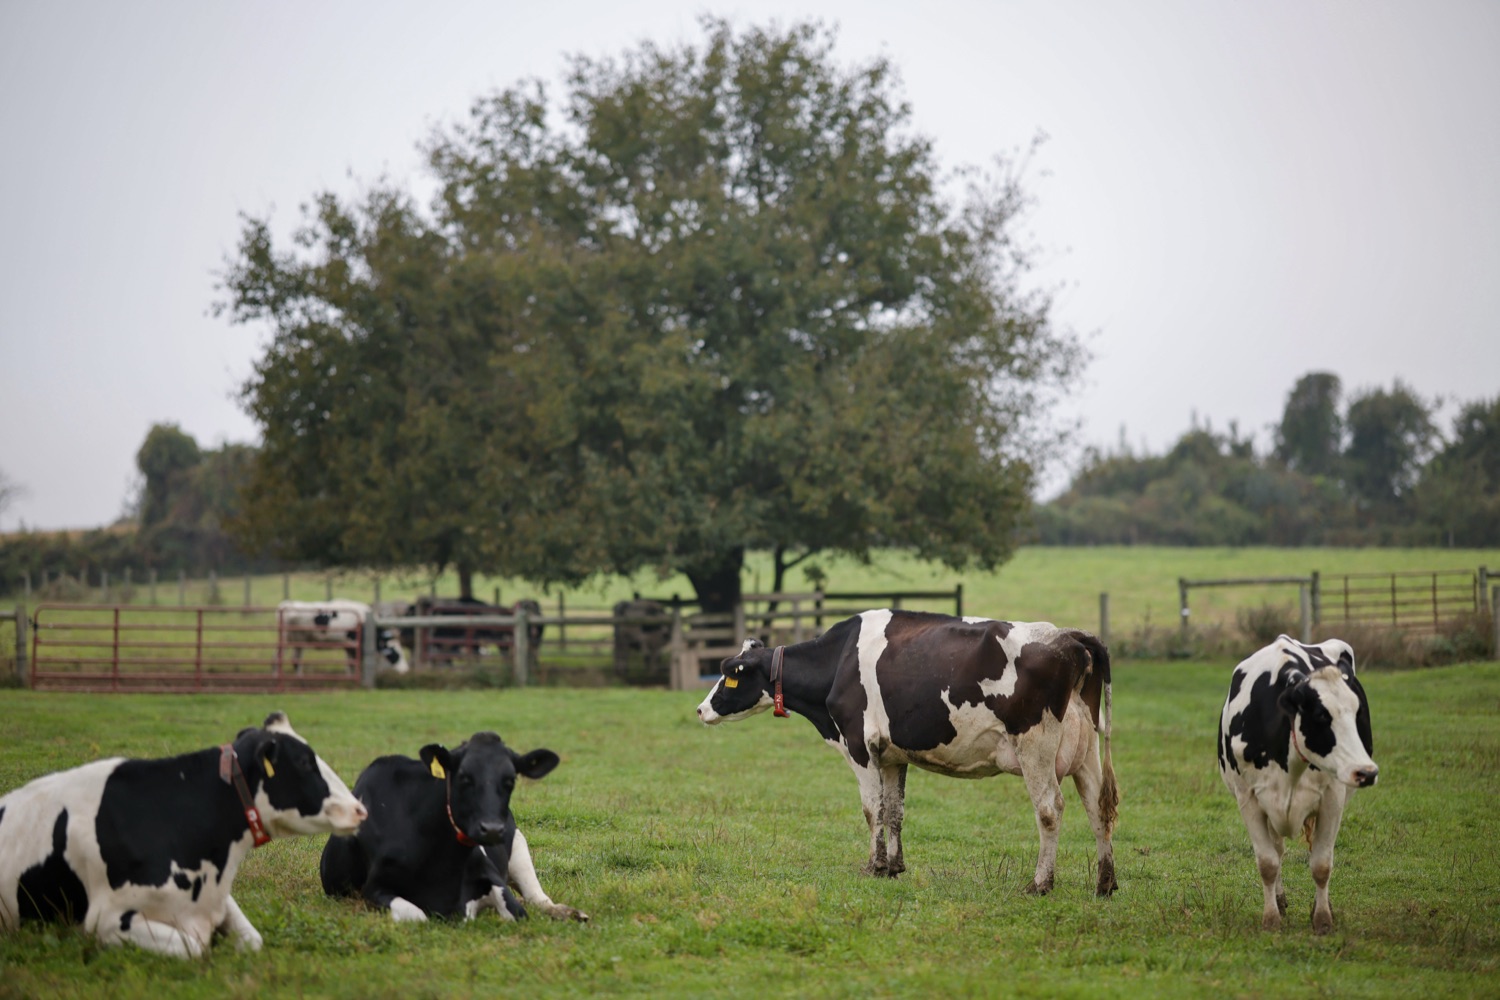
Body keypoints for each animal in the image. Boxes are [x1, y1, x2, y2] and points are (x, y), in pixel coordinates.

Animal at [0, 713, 366, 958]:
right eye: (304, 762)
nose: (359, 808)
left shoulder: (216, 898)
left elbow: (252, 940)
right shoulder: (107, 920)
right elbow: (193, 949)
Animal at [277, 599, 409, 675]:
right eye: (396, 654)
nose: (405, 670)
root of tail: (287, 604)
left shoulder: (350, 646)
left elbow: (351, 663)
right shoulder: (352, 644)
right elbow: (352, 663)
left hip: (293, 640)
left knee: (288, 658)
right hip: (294, 639)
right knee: (290, 659)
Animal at [320, 731, 587, 924]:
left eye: (510, 780)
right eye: (464, 777)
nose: (492, 829)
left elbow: (518, 912)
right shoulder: (373, 888)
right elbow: (417, 916)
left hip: (519, 845)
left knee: (537, 898)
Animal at [697, 610, 1119, 896]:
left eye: (729, 675)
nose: (700, 709)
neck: (839, 662)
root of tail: (1068, 636)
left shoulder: (859, 745)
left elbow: (872, 809)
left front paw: (873, 866)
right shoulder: (892, 754)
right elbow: (894, 810)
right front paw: (894, 866)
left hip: (1035, 746)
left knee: (1050, 809)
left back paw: (1040, 883)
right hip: (1087, 752)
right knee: (1098, 808)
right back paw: (1105, 883)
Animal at [1218, 635, 1378, 934]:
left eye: (1357, 712)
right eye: (1321, 715)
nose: (1367, 772)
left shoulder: (1332, 798)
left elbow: (1321, 864)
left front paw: (1322, 919)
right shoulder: (1249, 798)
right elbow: (1268, 862)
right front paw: (1271, 918)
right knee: (1278, 850)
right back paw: (1280, 900)